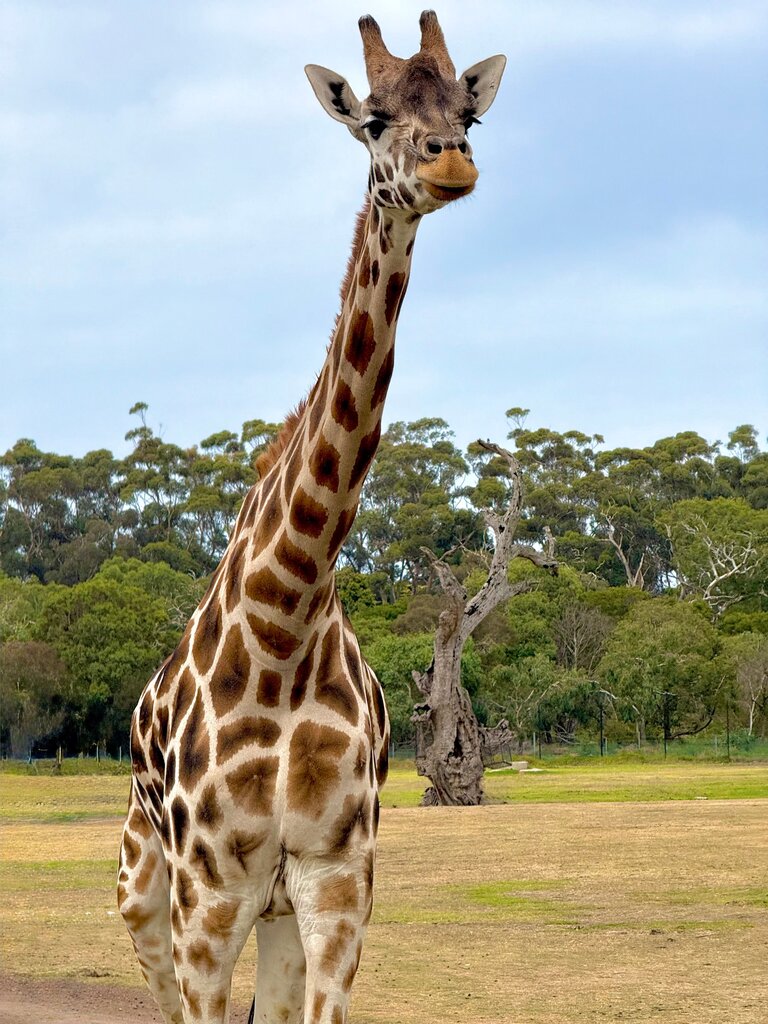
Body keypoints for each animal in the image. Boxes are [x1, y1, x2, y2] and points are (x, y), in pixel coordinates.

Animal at [118, 11, 505, 1024]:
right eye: (374, 120)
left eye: (467, 116)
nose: (452, 164)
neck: (287, 611)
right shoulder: (209, 898)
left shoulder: (336, 882)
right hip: (145, 893)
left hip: (278, 915)